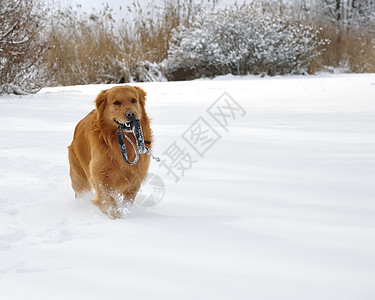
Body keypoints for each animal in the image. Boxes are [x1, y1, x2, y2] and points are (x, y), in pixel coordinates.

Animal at [68, 84, 152, 218]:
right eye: (116, 102)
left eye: (134, 100)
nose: (131, 114)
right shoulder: (100, 175)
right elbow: (108, 199)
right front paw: (115, 215)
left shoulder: (136, 176)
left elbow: (128, 199)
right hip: (79, 178)